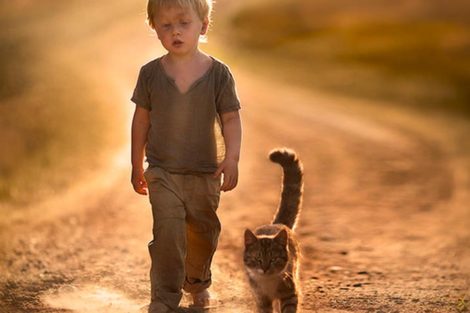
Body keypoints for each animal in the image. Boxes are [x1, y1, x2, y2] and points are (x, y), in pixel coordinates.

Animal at [244, 147, 302, 312]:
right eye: (257, 259)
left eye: (274, 259)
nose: (264, 268)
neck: (268, 281)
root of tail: (277, 223)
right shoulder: (261, 299)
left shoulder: (290, 293)